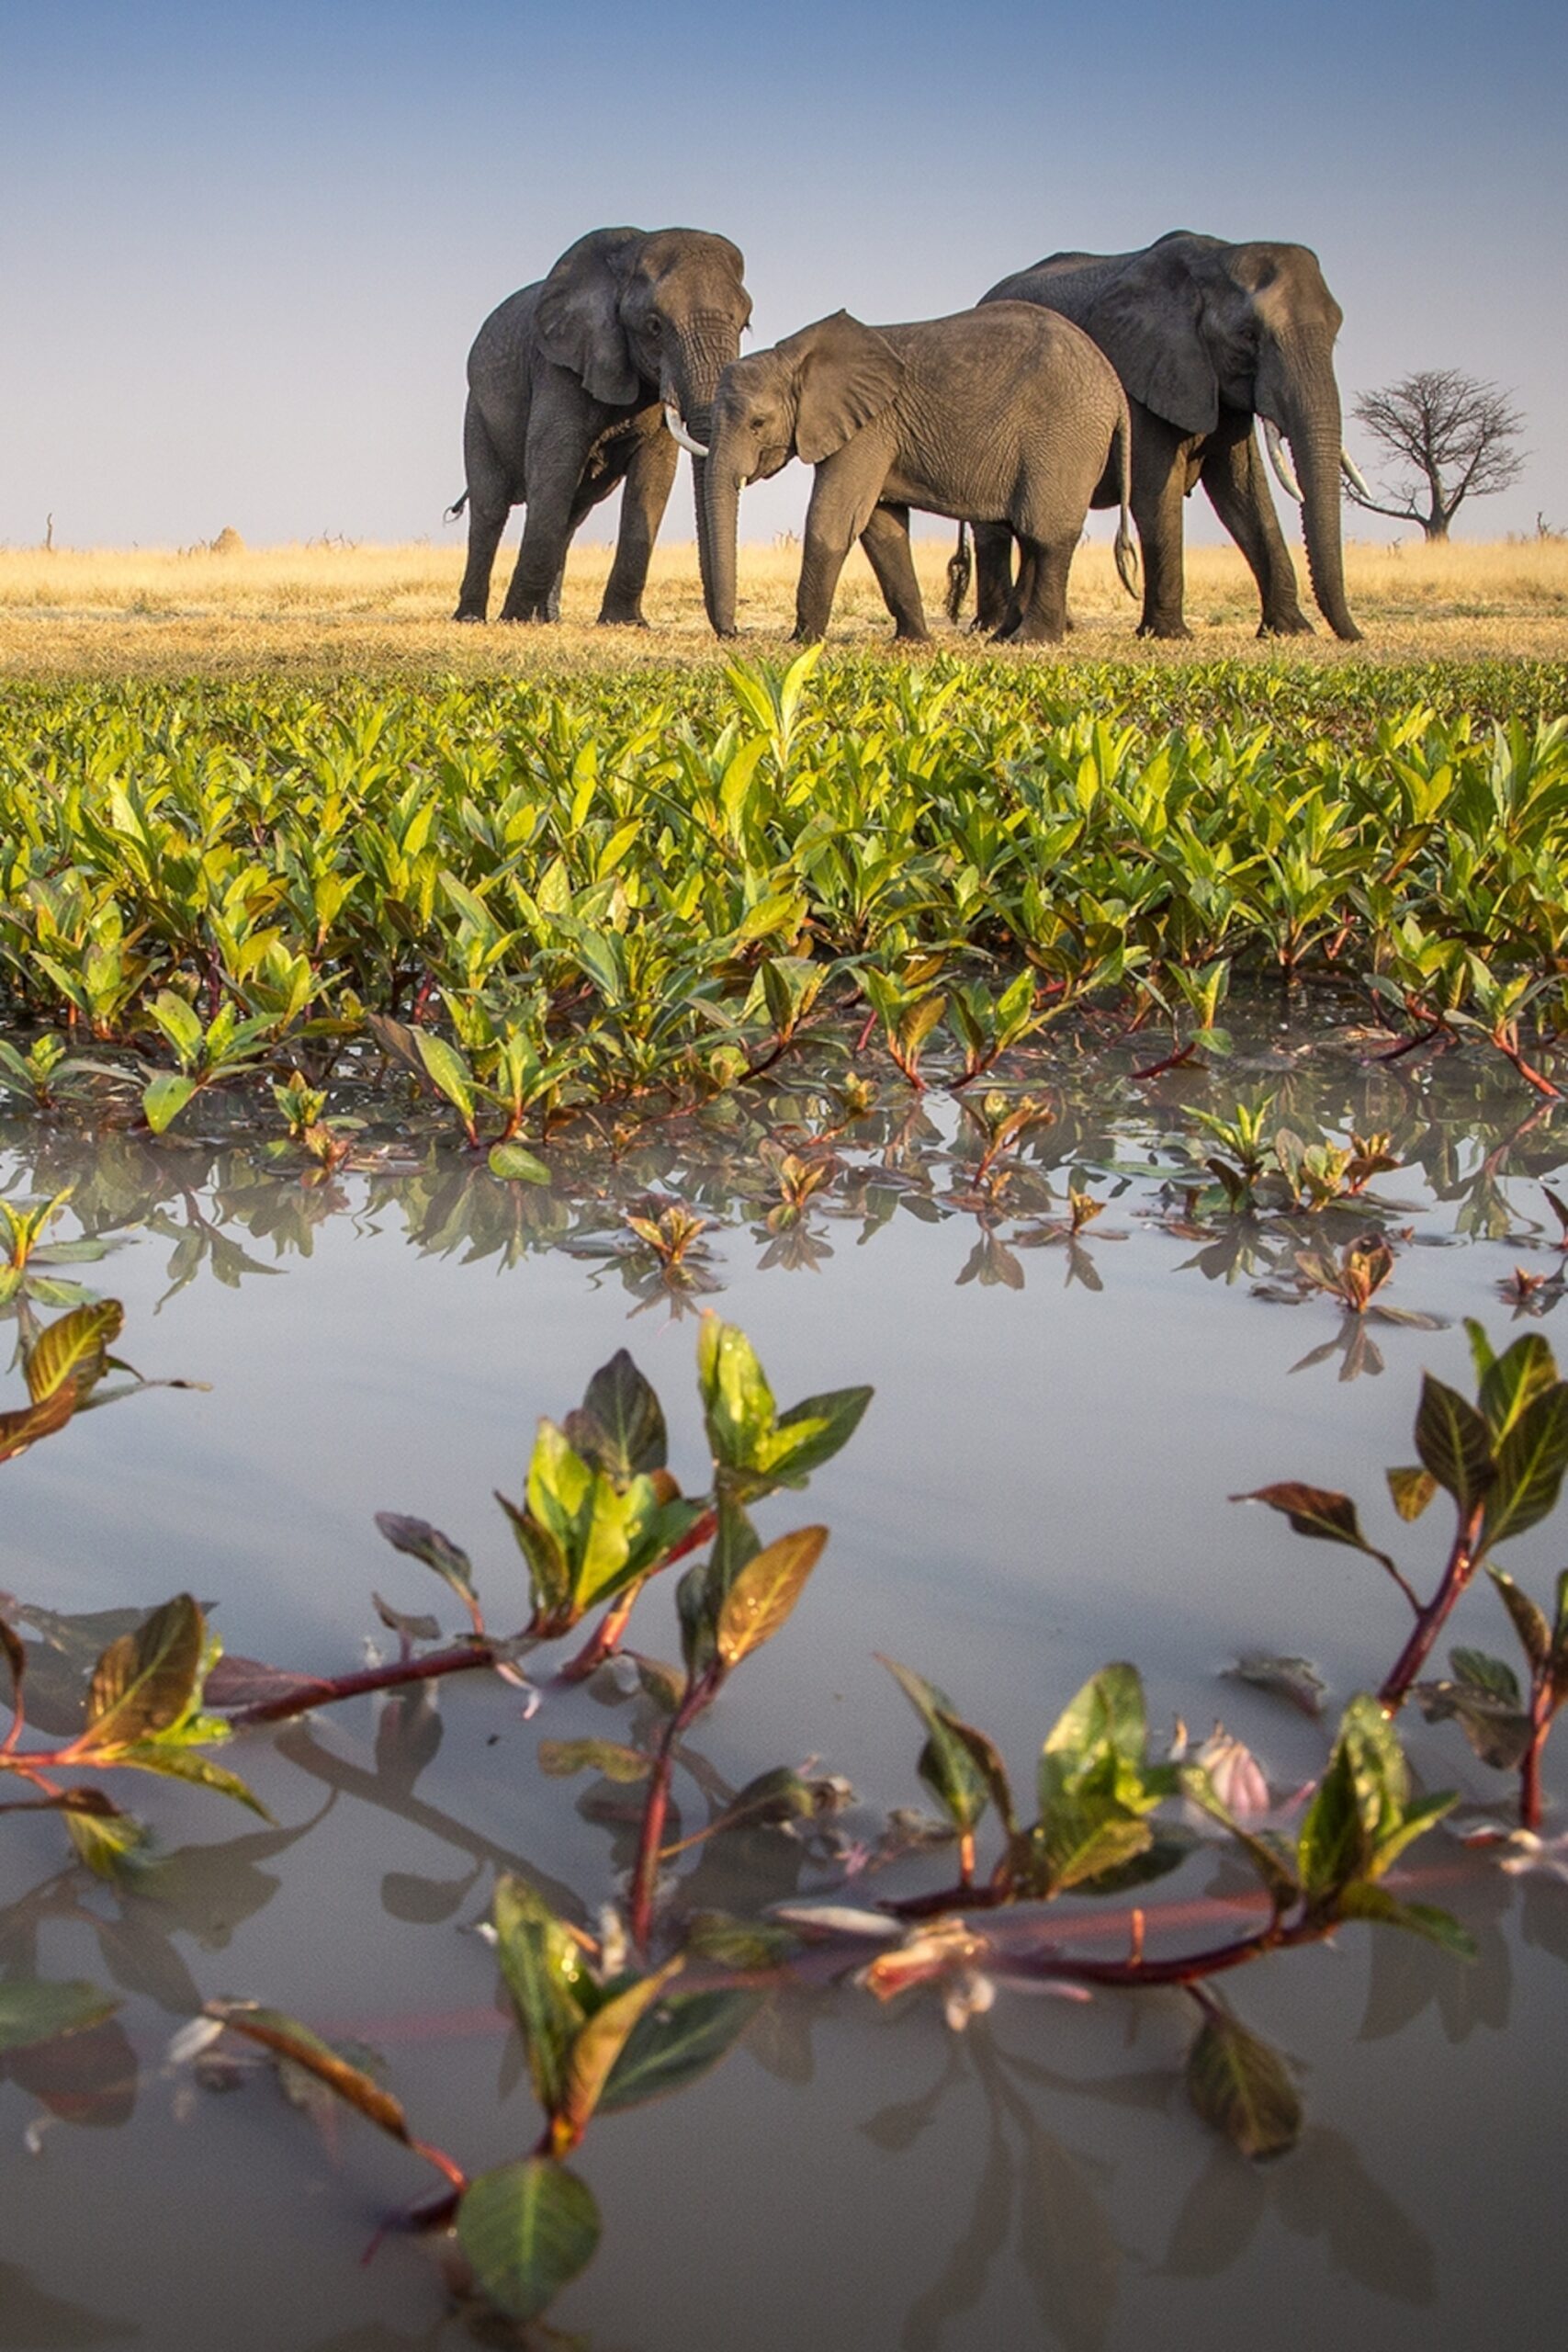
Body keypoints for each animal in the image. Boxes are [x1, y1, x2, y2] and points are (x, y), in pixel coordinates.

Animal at [450, 226, 751, 625]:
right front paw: (514, 620)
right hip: (478, 412)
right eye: (654, 326)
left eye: (745, 324)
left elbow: (654, 476)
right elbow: (554, 465)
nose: (732, 632)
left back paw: (549, 620)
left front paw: (625, 622)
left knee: (572, 515)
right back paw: (472, 618)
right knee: (490, 509)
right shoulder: (559, 366)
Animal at [697, 305, 1138, 645]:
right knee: (1030, 534)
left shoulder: (869, 429)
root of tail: (1115, 387)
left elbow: (834, 520)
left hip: (1064, 438)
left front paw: (803, 642)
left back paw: (1033, 641)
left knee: (1044, 535)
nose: (735, 633)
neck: (794, 354)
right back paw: (1003, 638)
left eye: (758, 423)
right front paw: (914, 641)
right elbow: (882, 527)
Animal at [971, 232, 1364, 641]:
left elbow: (1244, 495)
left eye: (1335, 333)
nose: (1355, 636)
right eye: (1248, 335)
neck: (1213, 260)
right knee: (995, 526)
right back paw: (993, 626)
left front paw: (1291, 631)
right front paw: (1170, 634)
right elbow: (1156, 494)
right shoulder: (1138, 374)